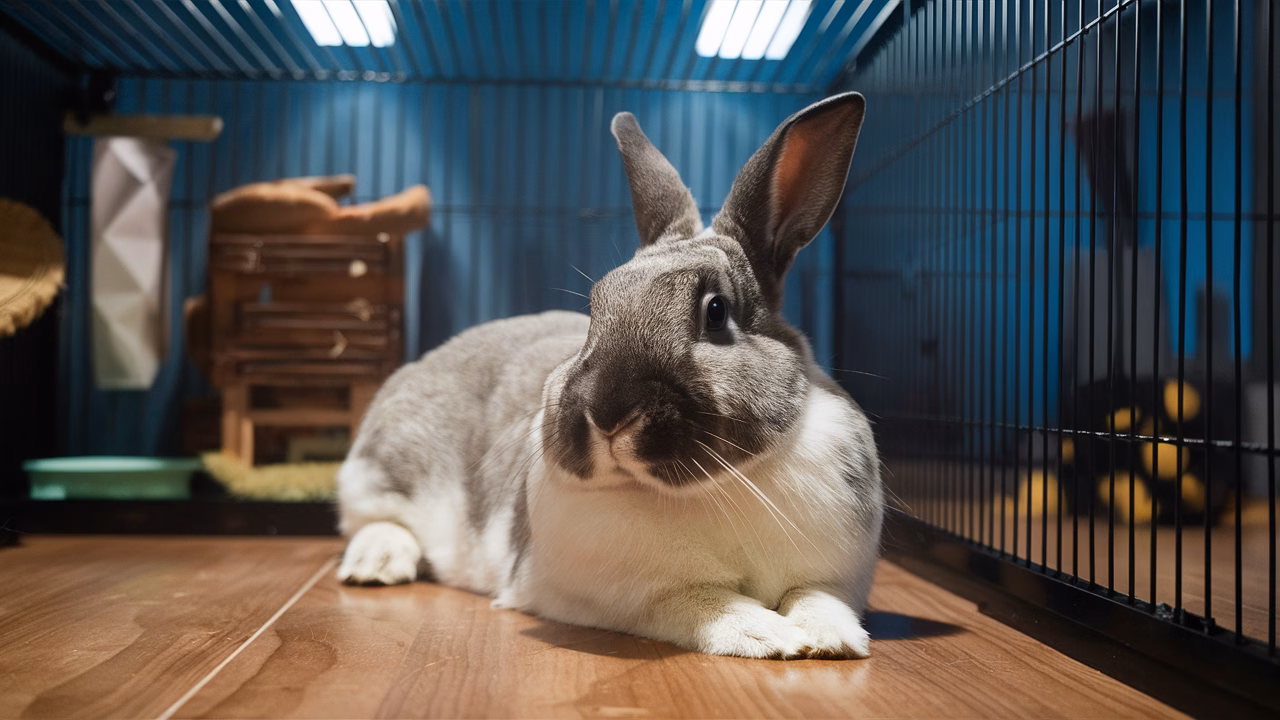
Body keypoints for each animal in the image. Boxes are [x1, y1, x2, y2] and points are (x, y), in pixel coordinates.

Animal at [336, 92, 883, 659]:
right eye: (596, 308)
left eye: (715, 311)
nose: (608, 412)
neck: (714, 487)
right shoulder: (624, 595)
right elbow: (700, 602)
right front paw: (766, 635)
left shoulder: (836, 576)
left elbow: (818, 596)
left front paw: (832, 641)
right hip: (383, 472)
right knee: (375, 520)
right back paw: (376, 566)